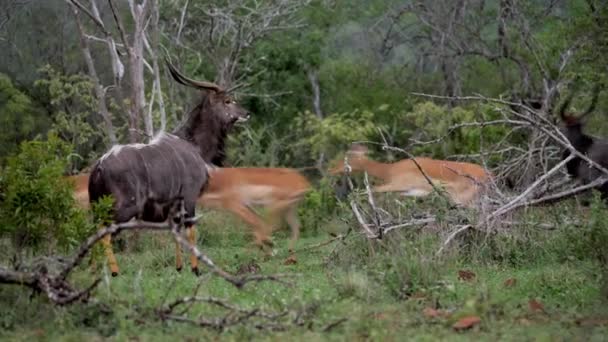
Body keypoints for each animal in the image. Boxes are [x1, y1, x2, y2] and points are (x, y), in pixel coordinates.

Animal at [330, 144, 492, 206]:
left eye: (345, 158)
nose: (330, 170)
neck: (389, 169)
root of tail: (488, 175)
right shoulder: (412, 192)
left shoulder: (396, 184)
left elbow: (370, 190)